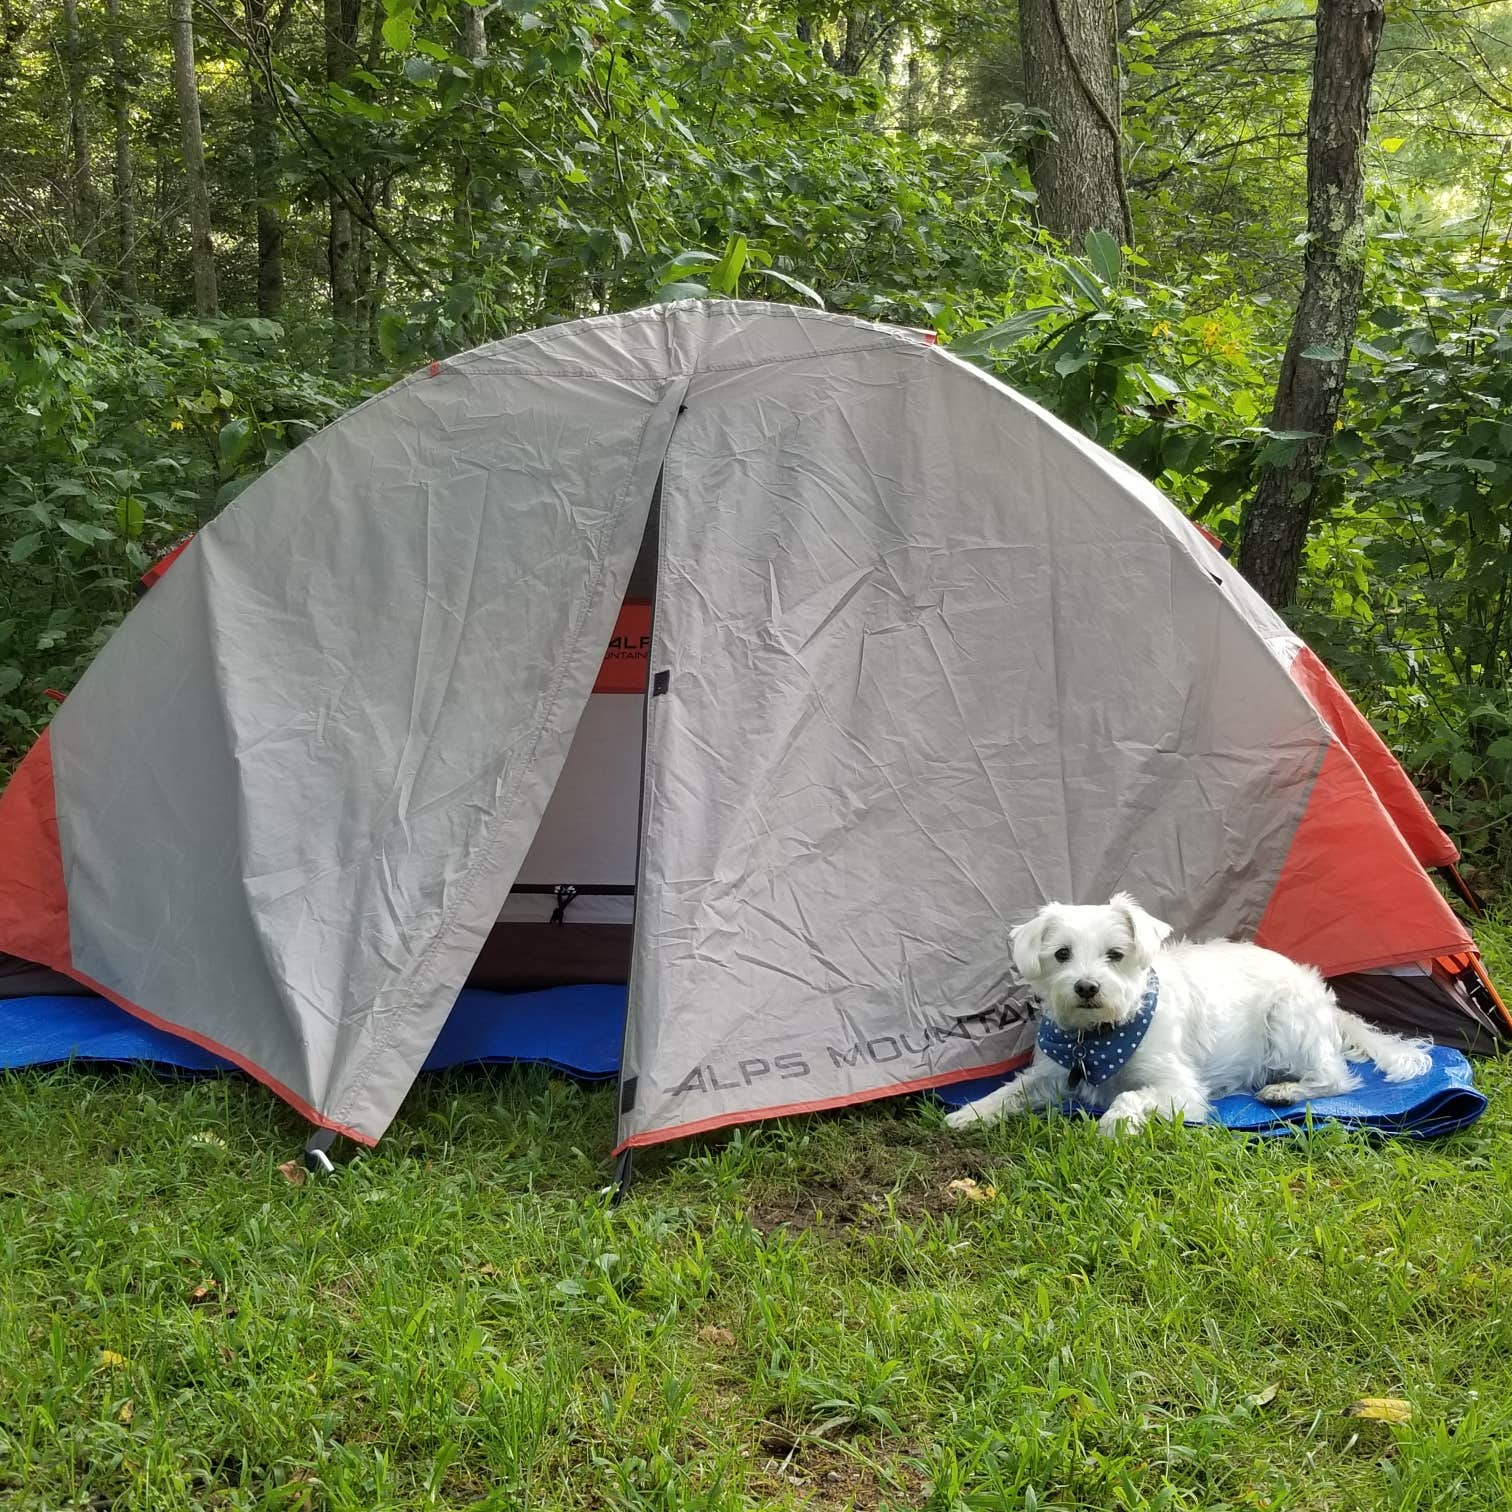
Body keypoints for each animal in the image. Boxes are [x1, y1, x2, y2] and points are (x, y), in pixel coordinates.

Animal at [943, 883, 1427, 1137]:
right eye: (1062, 954)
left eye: (1115, 955)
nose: (1086, 986)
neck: (1100, 1036)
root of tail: (1323, 997)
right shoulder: (1050, 1074)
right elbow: (1010, 1091)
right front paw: (969, 1113)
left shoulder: (1180, 1089)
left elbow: (1129, 1095)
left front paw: (1115, 1122)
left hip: (1287, 1020)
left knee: (1337, 1077)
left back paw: (1284, 1091)